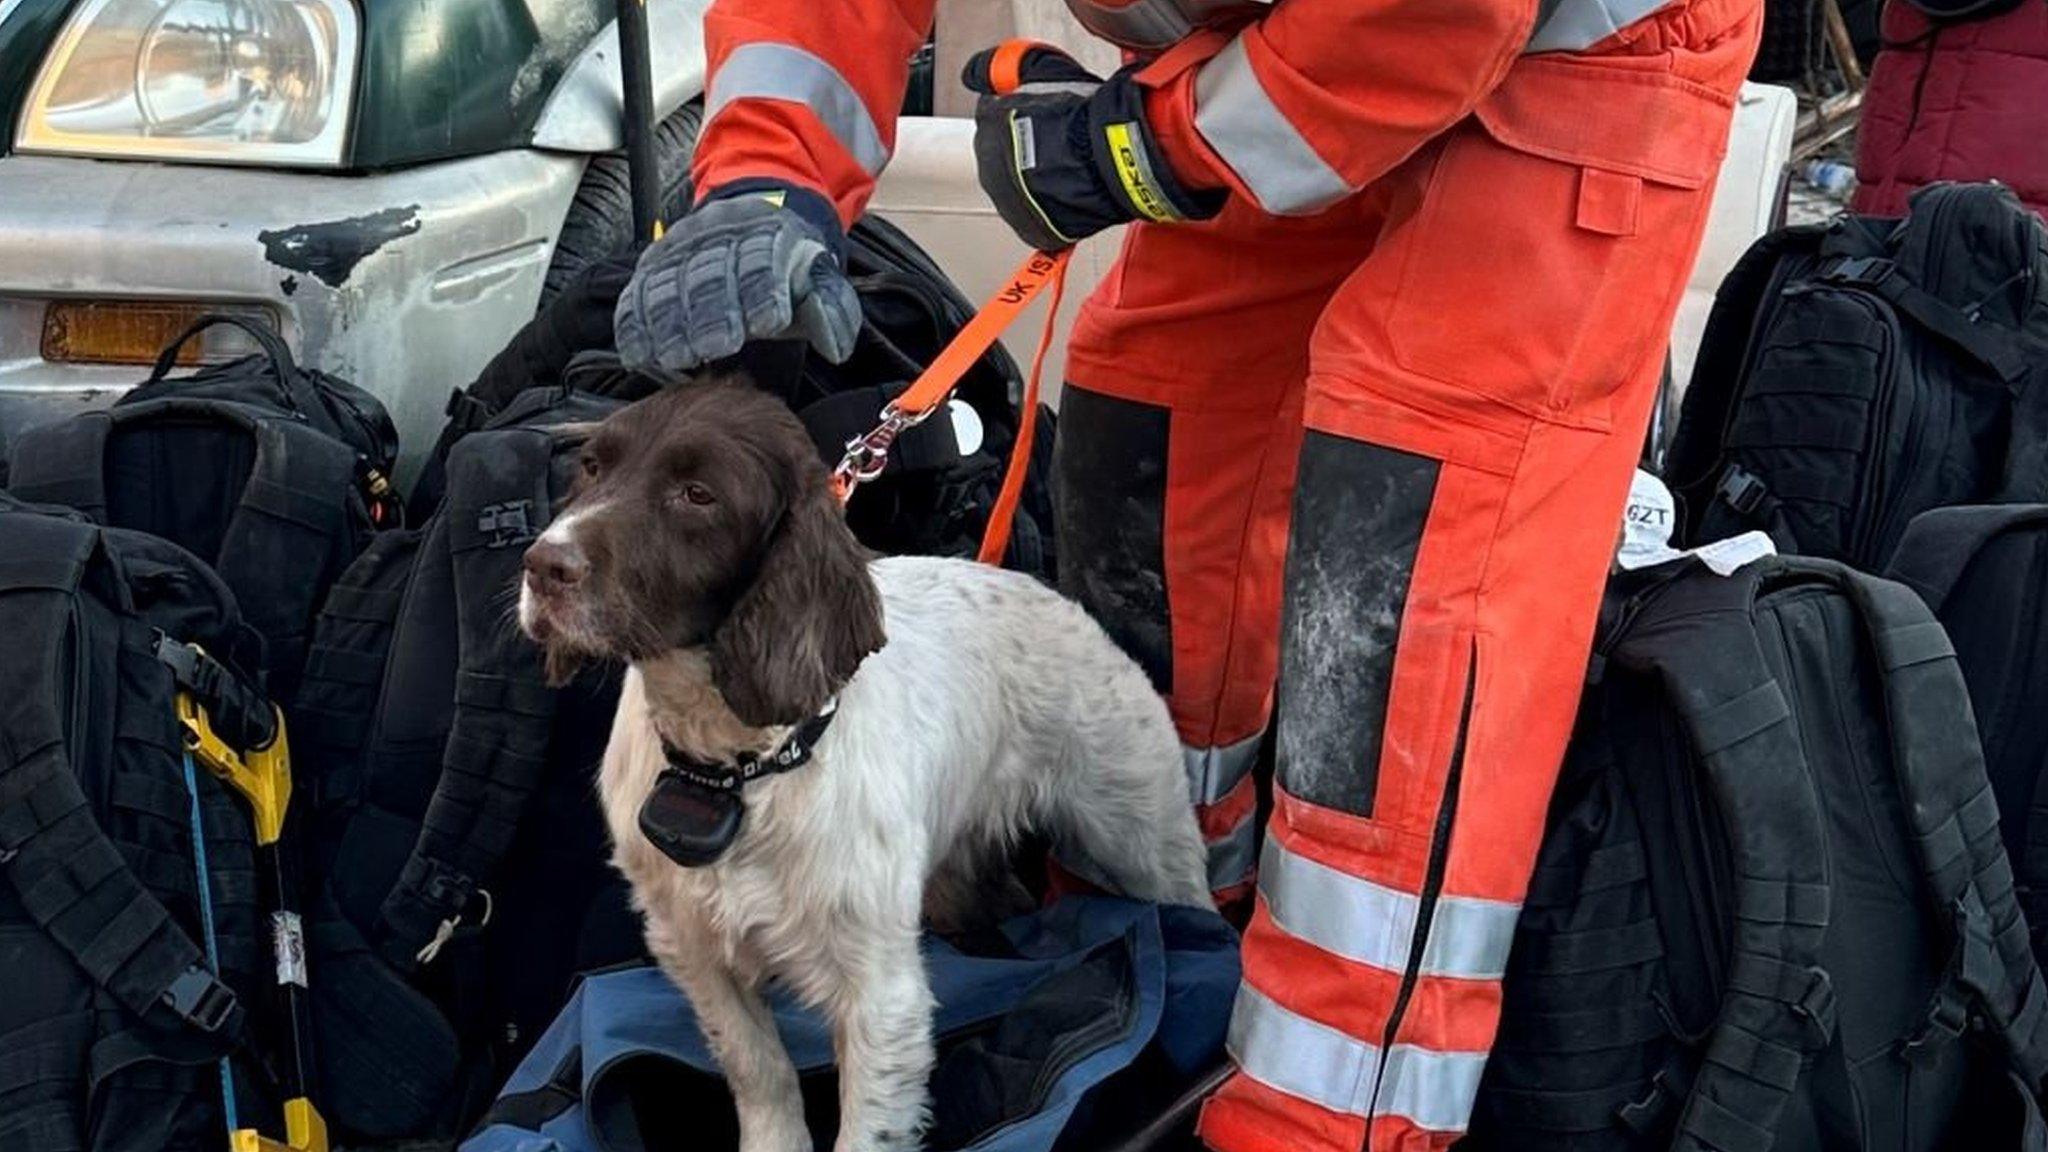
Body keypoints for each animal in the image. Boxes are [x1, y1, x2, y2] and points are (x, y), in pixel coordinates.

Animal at [520, 379, 1204, 1147]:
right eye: (592, 468)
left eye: (697, 494)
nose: (542, 566)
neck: (738, 769)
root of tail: (1063, 602)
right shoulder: (693, 948)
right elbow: (760, 1070)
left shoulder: (881, 993)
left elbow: (865, 1125)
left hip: (1146, 842)